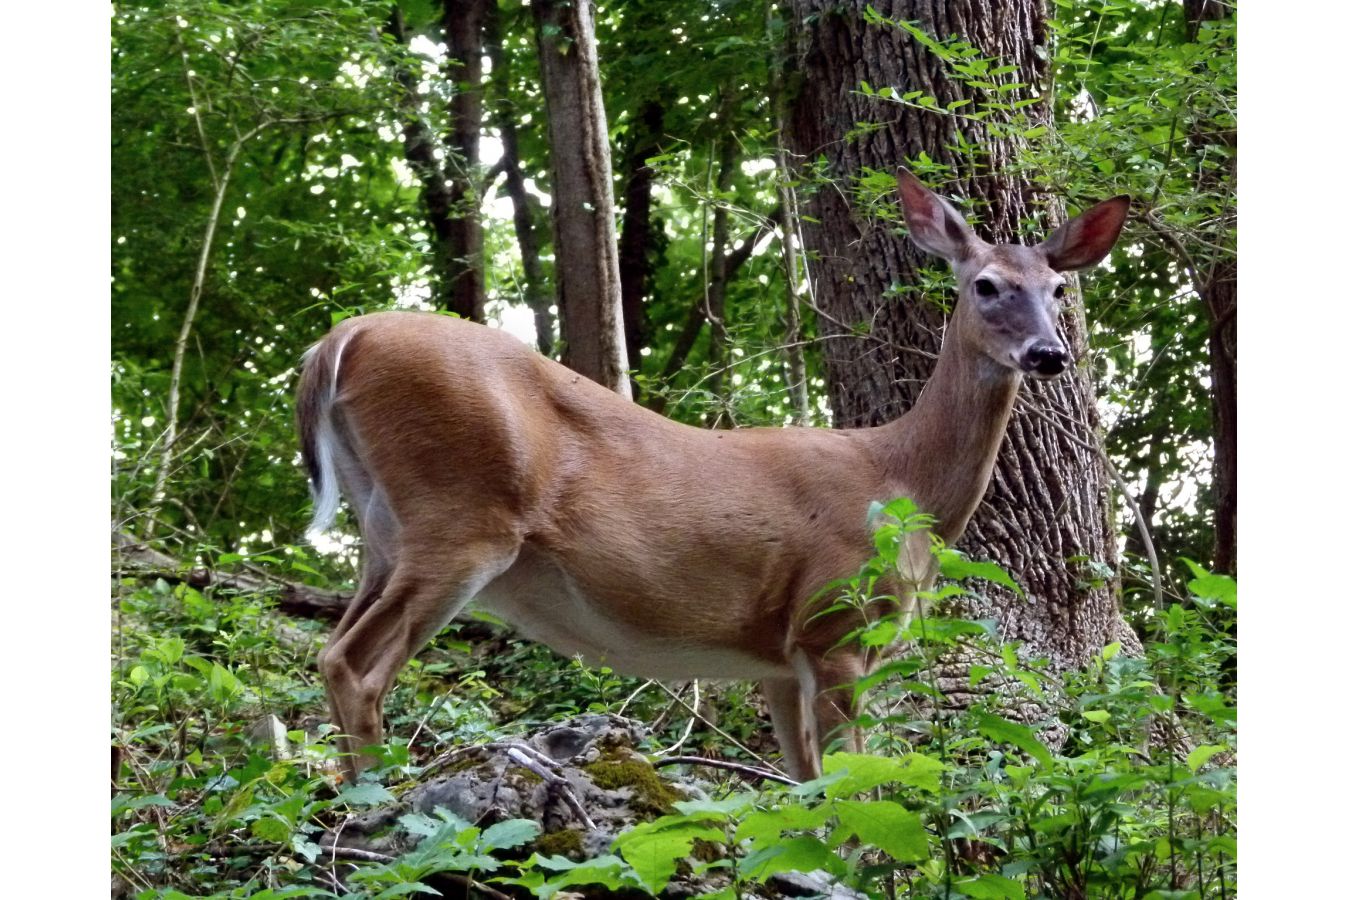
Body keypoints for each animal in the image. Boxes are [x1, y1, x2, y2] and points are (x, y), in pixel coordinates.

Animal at [298, 168, 1128, 782]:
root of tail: (343, 338)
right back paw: (379, 802)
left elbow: (806, 790)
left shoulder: (778, 658)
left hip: (386, 532)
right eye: (985, 285)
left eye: (1059, 289)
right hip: (462, 517)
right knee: (352, 664)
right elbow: (852, 784)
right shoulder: (835, 622)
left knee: (336, 647)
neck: (901, 481)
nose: (1050, 354)